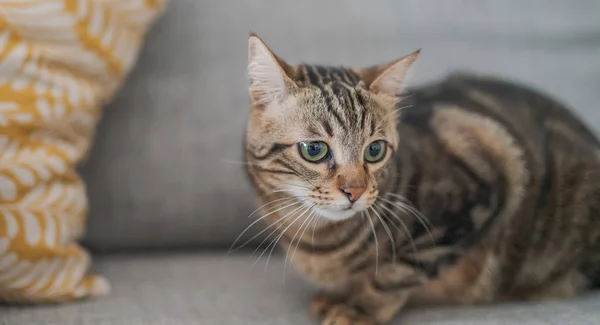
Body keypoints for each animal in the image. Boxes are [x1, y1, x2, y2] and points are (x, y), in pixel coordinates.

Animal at [239, 33, 600, 324]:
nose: (355, 191)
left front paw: (360, 307)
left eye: (375, 150)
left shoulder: (483, 185)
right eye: (314, 149)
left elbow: (398, 272)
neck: (319, 241)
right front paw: (339, 296)